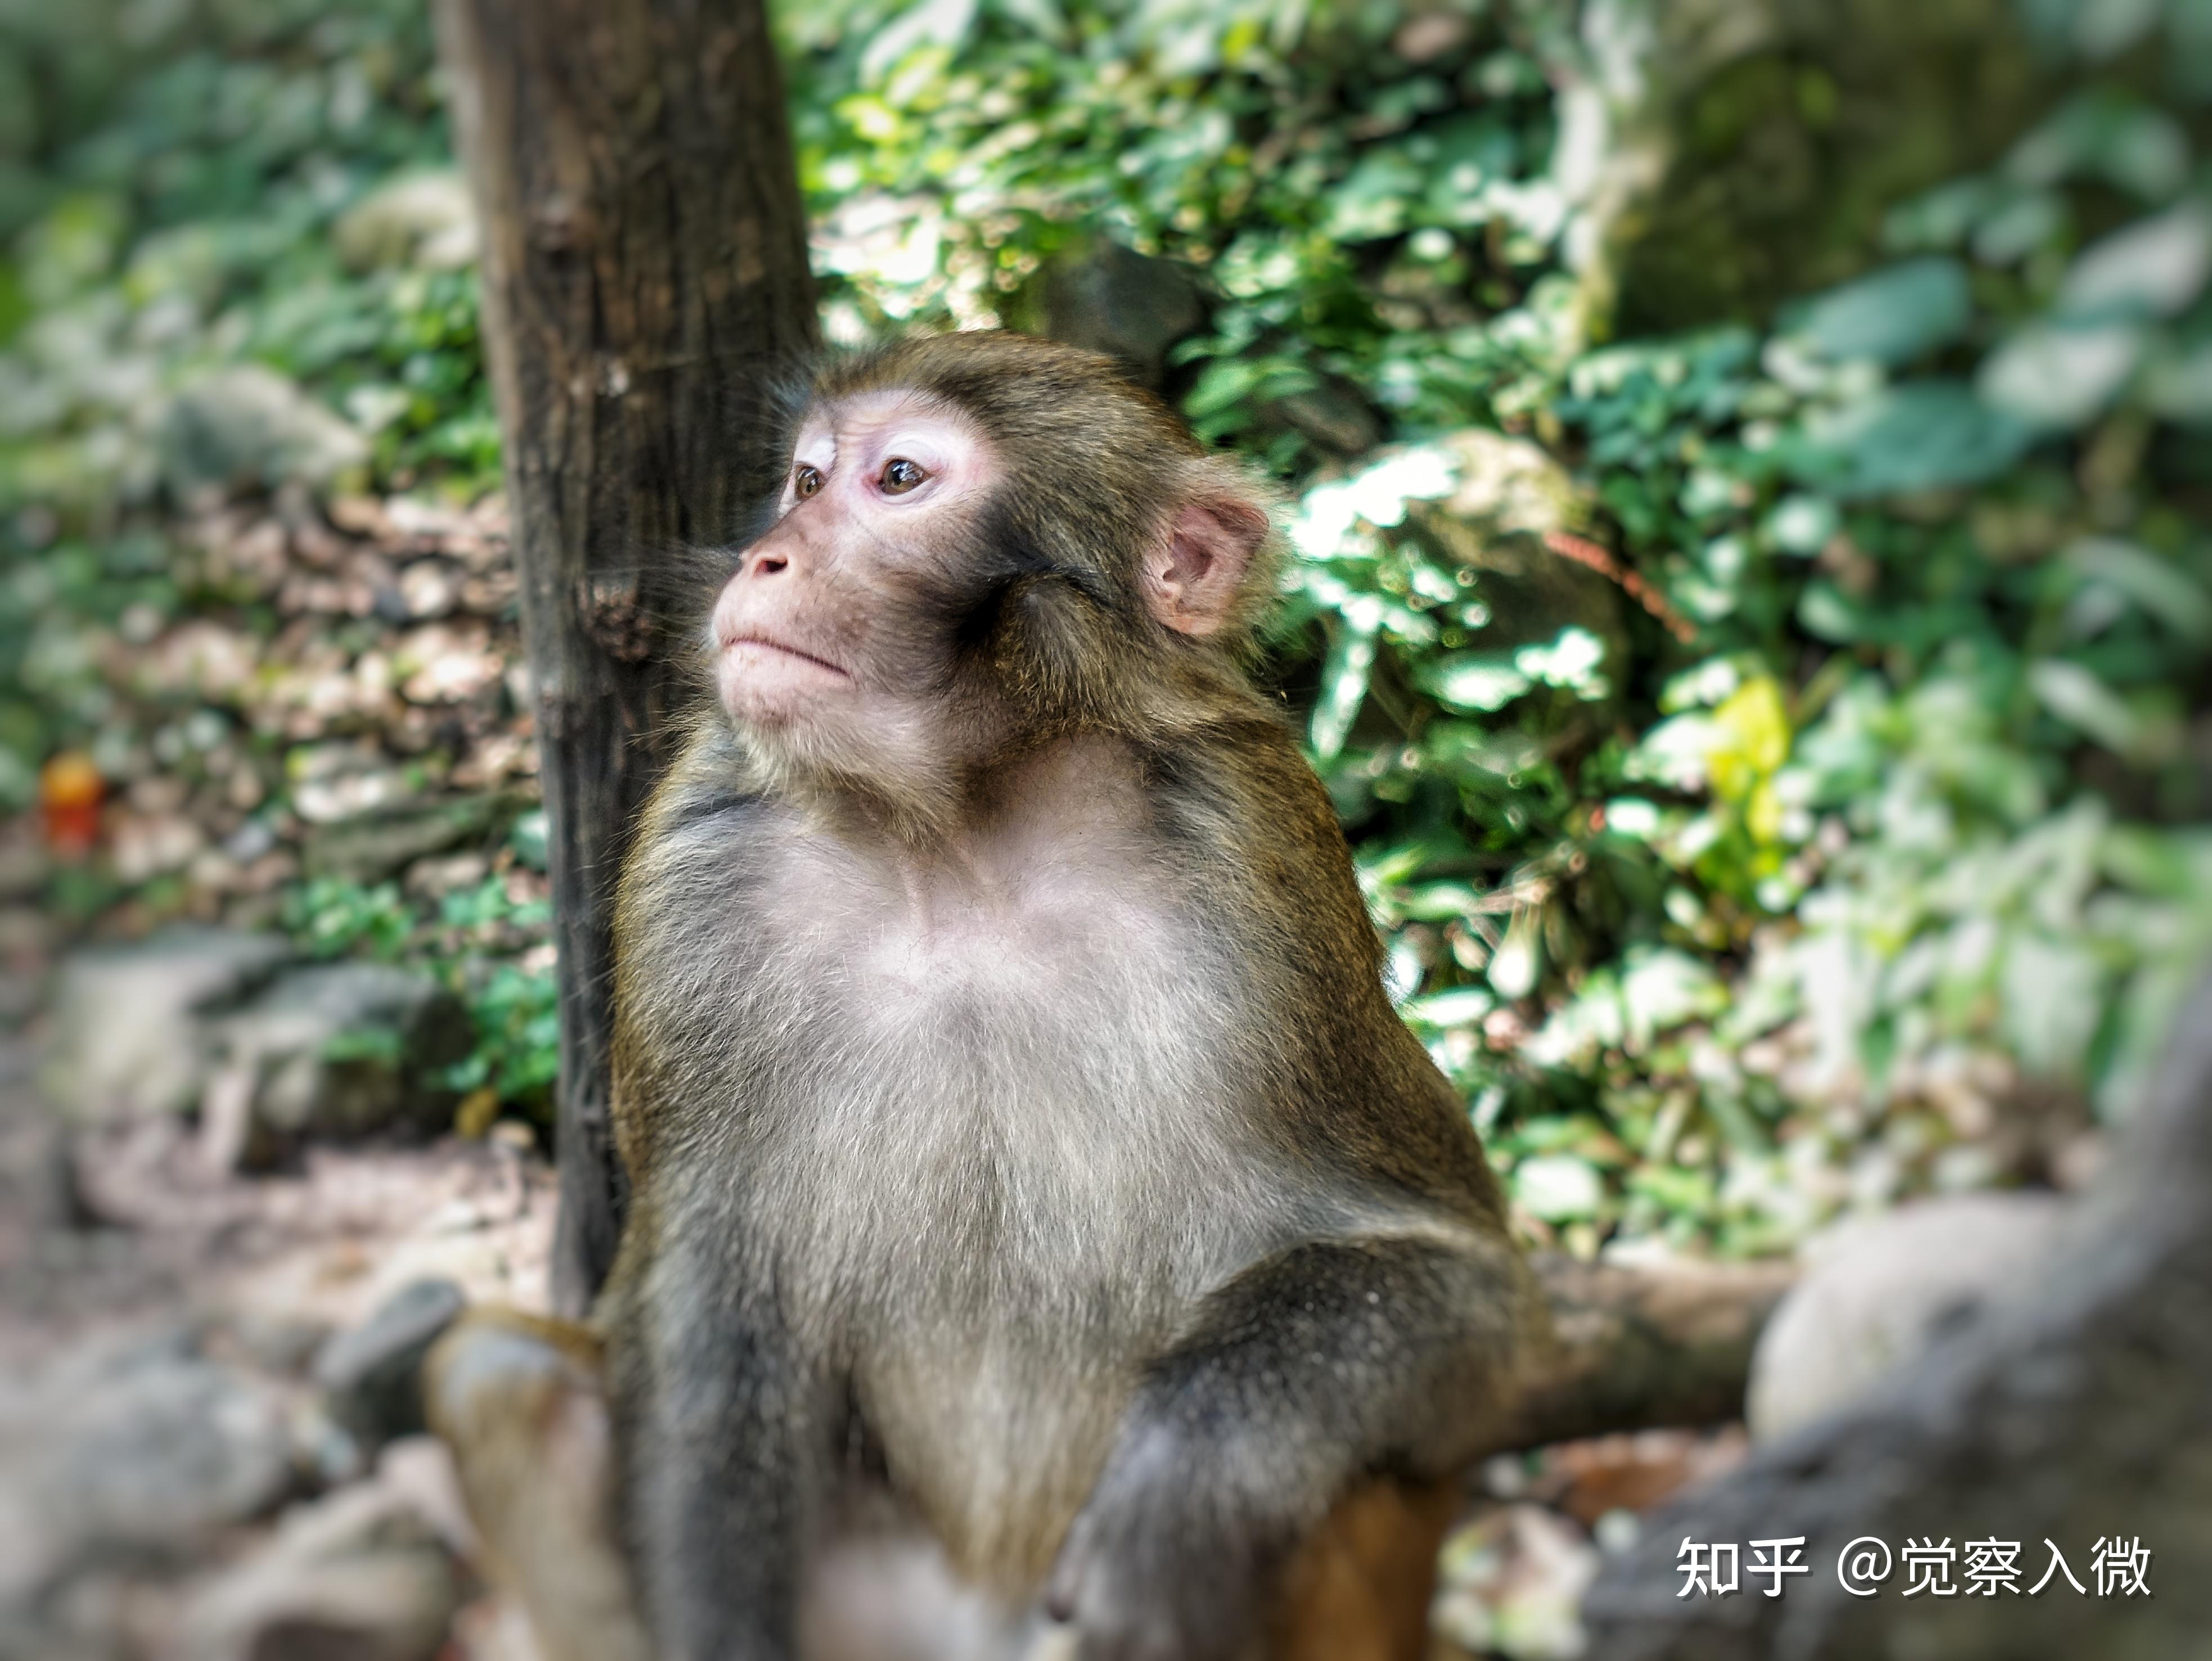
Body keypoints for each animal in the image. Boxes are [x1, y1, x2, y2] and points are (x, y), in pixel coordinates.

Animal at [427, 327, 1540, 1661]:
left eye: (900, 477)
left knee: (1345, 1473)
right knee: (502, 1378)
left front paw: (1186, 1476)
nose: (764, 554)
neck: (958, 839)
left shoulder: (1269, 879)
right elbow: (705, 1297)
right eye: (806, 479)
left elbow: (1466, 1286)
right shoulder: (692, 870)